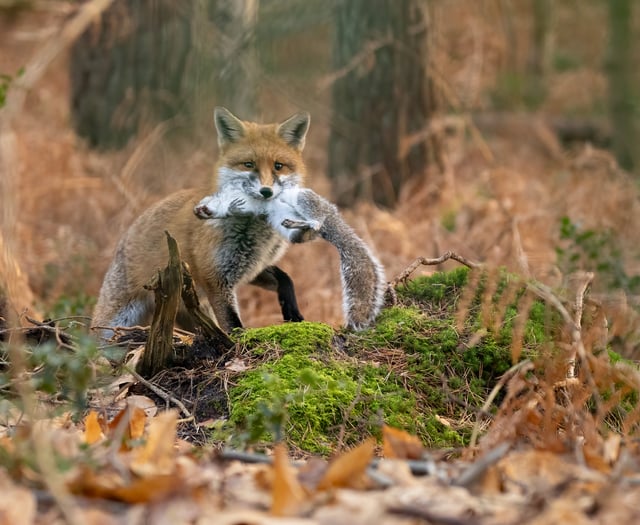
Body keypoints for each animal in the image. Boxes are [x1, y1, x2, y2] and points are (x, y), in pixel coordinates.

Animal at [92, 107, 310, 336]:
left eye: (279, 166)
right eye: (248, 165)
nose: (266, 191)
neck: (256, 236)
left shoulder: (251, 267)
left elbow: (285, 278)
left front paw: (292, 312)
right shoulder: (216, 278)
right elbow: (233, 326)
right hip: (113, 324)